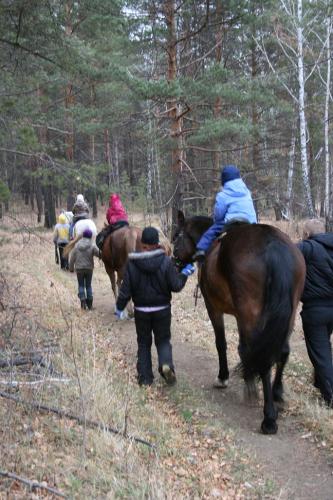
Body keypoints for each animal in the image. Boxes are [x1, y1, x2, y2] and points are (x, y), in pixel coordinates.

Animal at [172, 211, 304, 434]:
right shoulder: (241, 317)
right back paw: (277, 393)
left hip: (251, 312)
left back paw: (269, 418)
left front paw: (224, 377)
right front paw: (248, 377)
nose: (174, 262)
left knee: (266, 360)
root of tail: (273, 245)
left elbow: (222, 343)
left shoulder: (215, 308)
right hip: (289, 314)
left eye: (176, 237)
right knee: (282, 352)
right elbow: (245, 347)